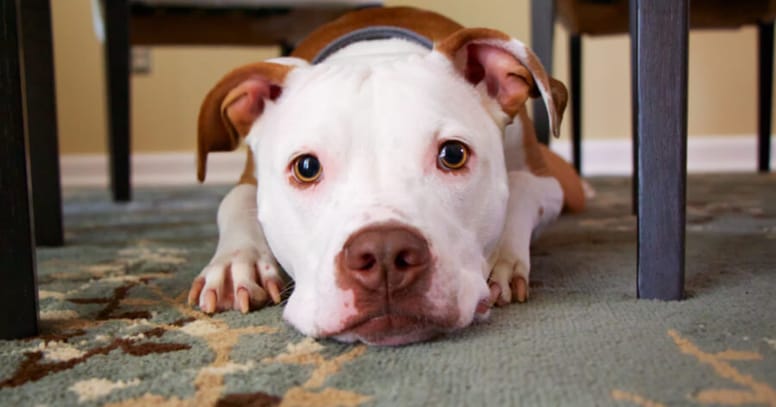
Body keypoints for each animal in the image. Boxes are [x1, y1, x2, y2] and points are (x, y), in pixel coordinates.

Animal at [188, 6, 585, 346]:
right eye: (306, 167)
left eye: (453, 155)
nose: (384, 254)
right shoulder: (249, 180)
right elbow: (234, 200)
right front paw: (237, 264)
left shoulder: (546, 183)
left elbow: (520, 187)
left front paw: (502, 258)